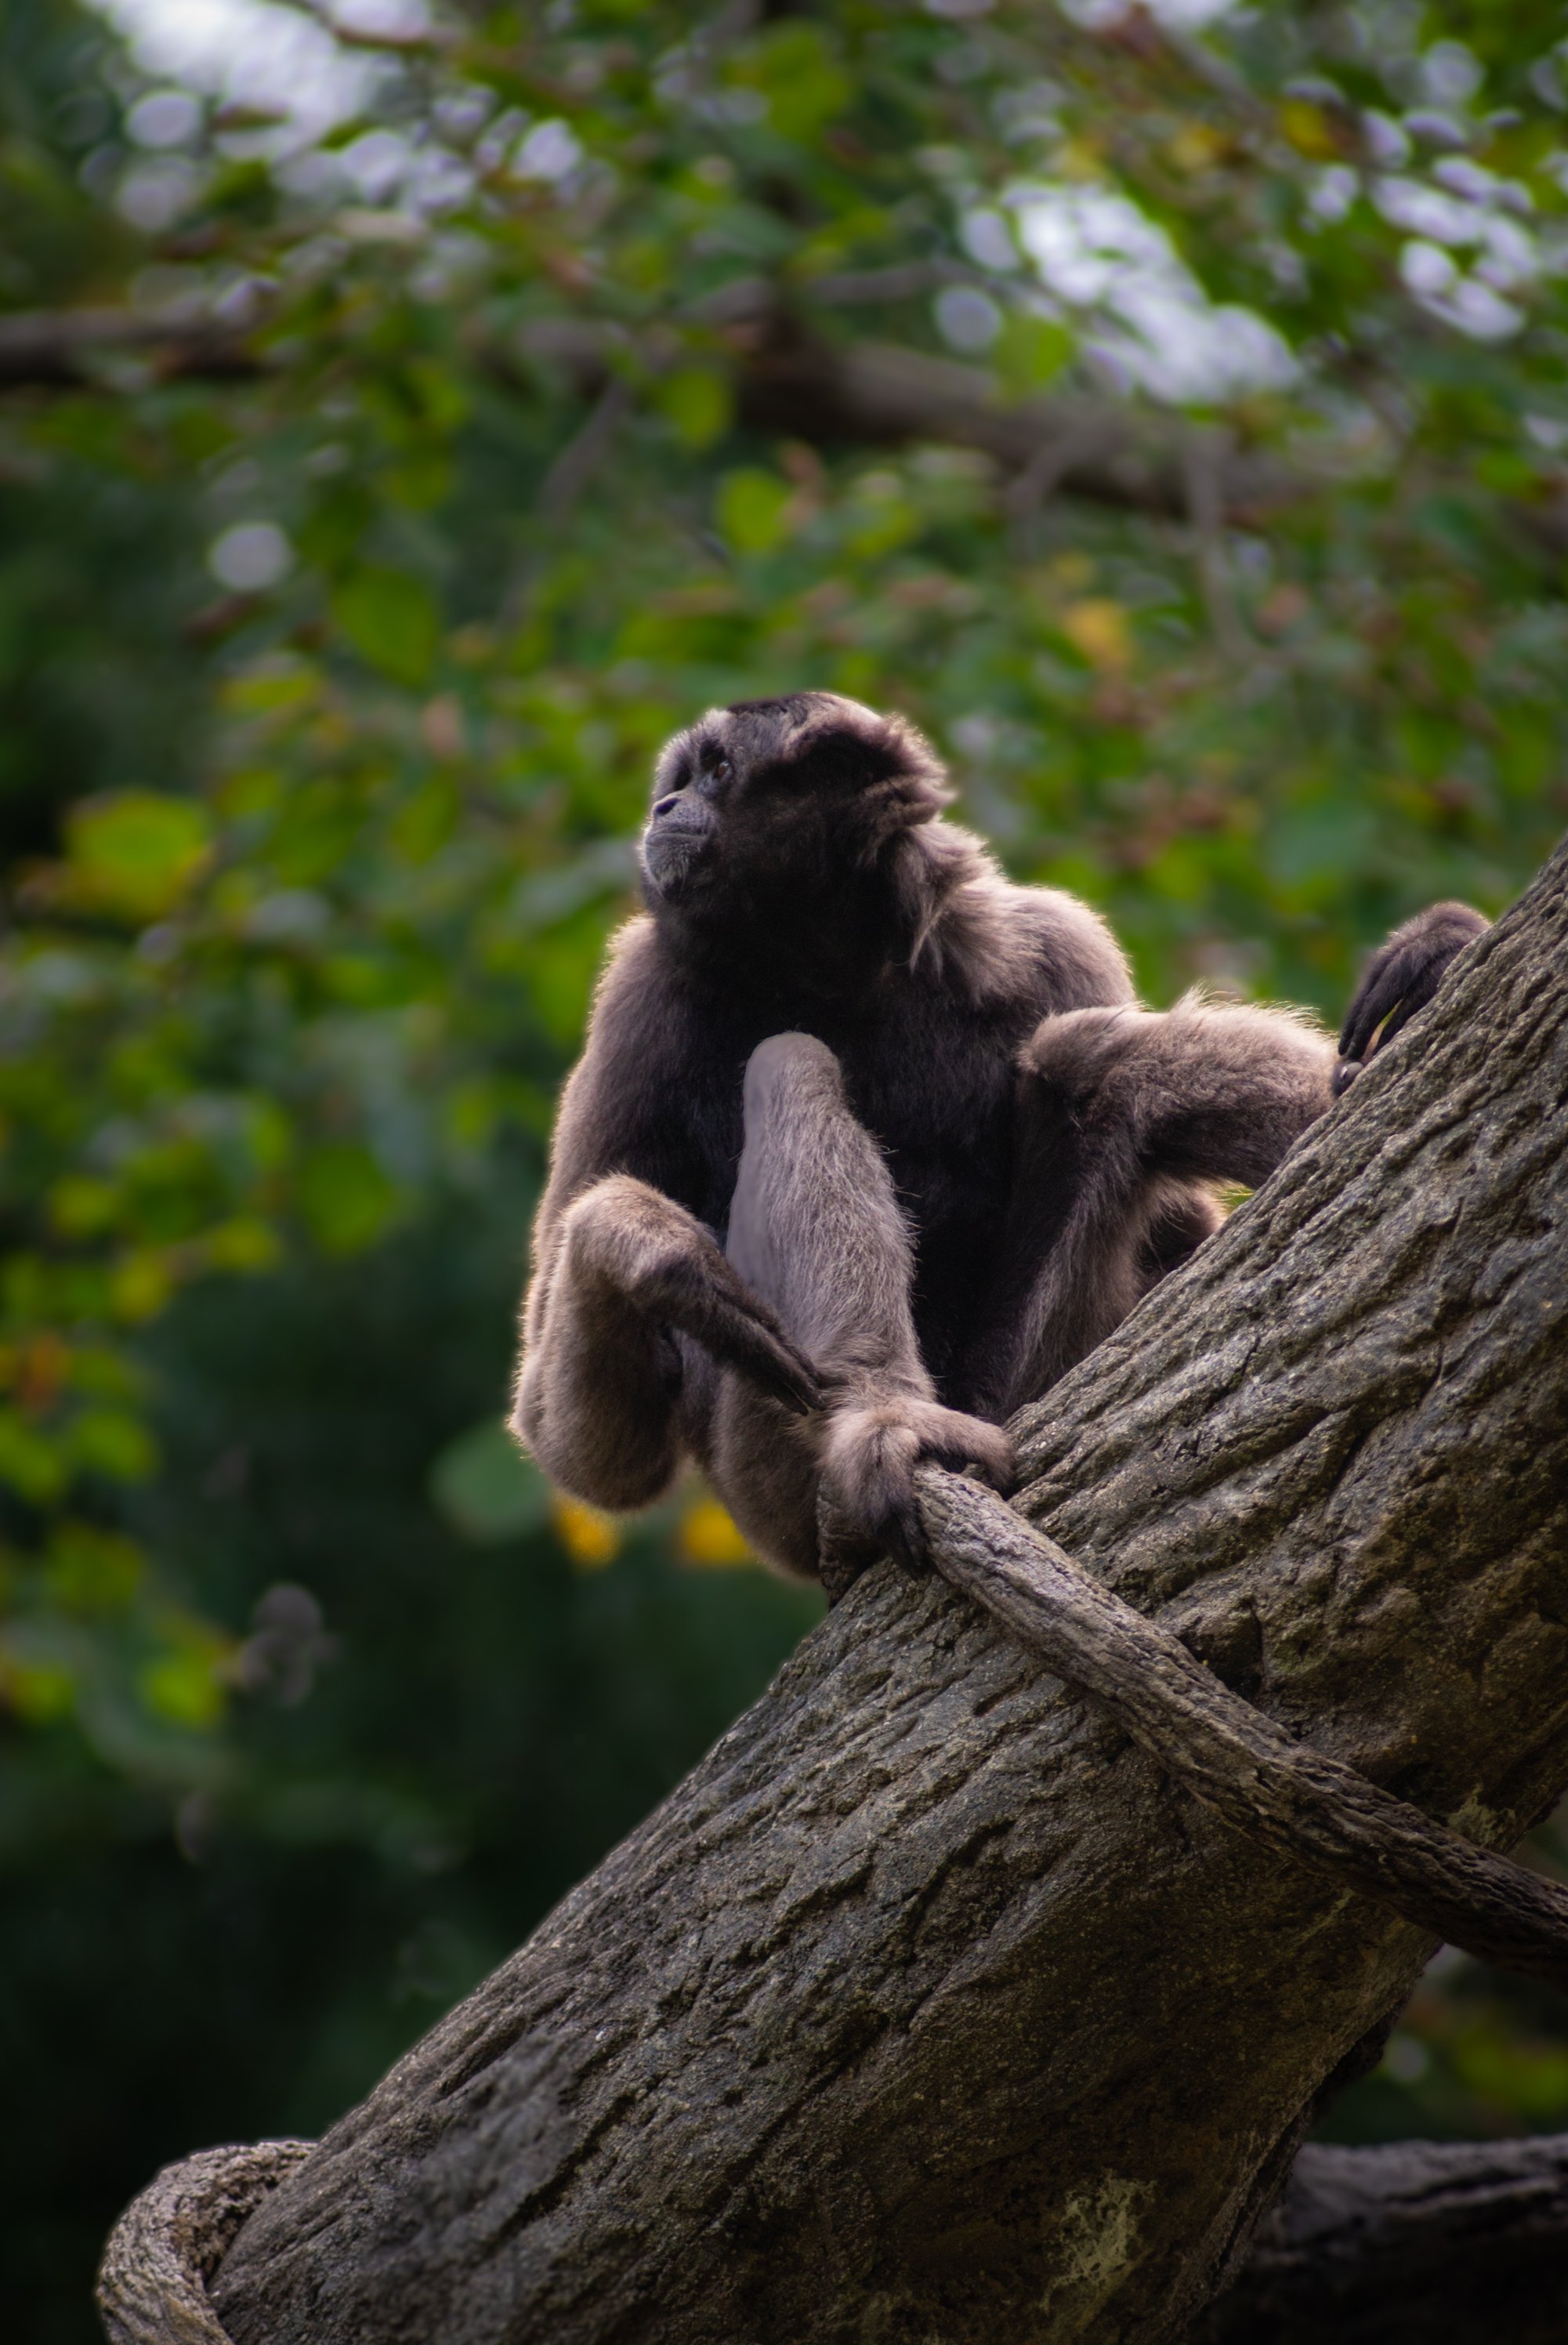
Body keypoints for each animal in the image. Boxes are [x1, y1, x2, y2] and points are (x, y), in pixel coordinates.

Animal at [512, 693, 1486, 1590]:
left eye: (714, 773)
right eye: (681, 779)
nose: (665, 809)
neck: (828, 968)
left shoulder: (1044, 938)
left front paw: (1438, 951)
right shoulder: (640, 997)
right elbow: (586, 1452)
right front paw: (641, 1245)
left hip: (1017, 1385)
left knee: (1089, 1059)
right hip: (775, 1467)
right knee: (792, 1062)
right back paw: (884, 1420)